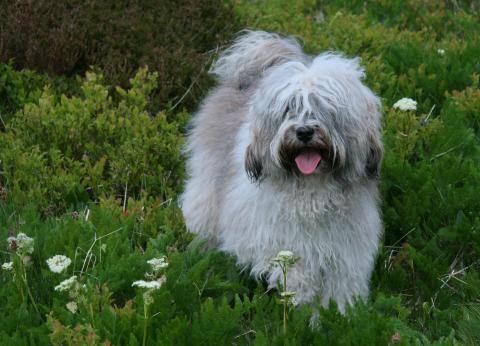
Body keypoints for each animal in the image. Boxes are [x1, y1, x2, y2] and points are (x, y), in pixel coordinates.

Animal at [182, 31, 384, 312]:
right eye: (290, 108)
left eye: (325, 107)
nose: (304, 131)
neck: (311, 192)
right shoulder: (259, 233)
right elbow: (291, 267)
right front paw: (302, 292)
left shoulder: (347, 252)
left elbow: (341, 290)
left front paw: (335, 315)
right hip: (206, 187)